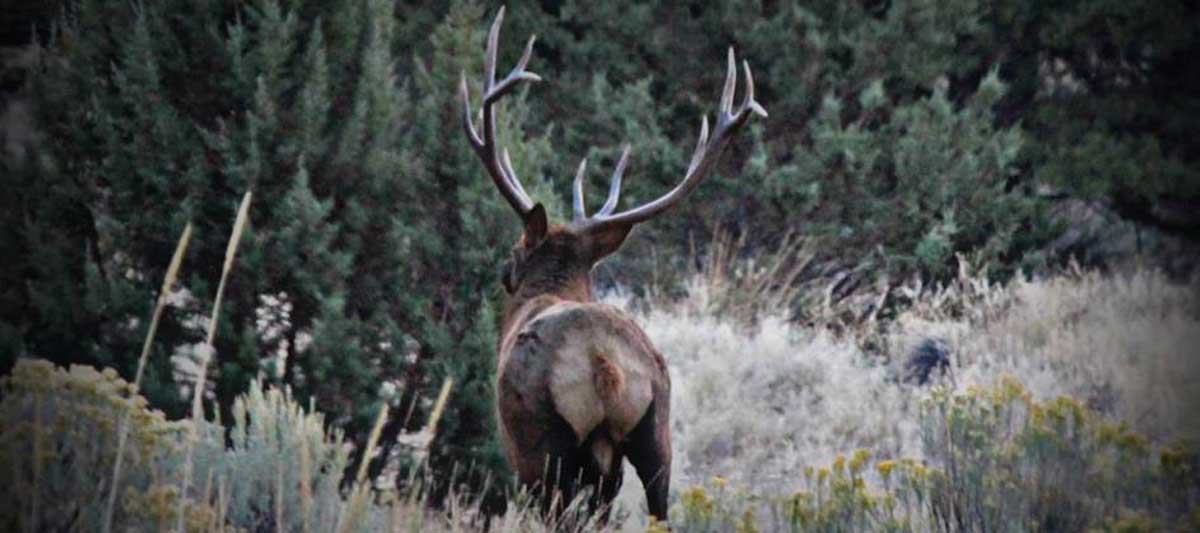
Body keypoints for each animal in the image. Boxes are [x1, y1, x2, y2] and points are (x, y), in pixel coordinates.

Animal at [458, 6, 768, 523]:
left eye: (512, 259)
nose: (504, 275)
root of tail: (603, 363)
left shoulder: (516, 451)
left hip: (547, 443)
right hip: (655, 426)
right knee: (659, 508)